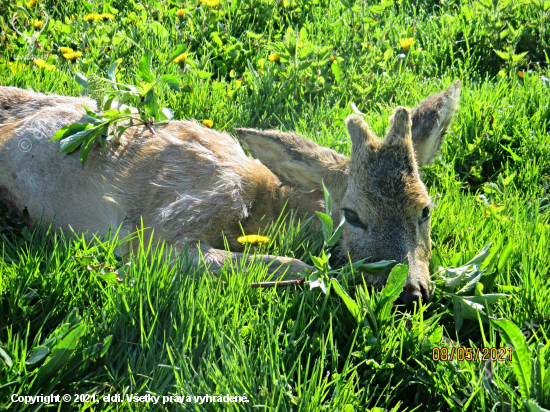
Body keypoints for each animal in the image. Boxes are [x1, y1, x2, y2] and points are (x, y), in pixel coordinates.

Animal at [0, 82, 464, 308]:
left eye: (425, 209)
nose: (412, 293)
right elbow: (294, 264)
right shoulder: (163, 228)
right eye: (352, 215)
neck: (262, 201)